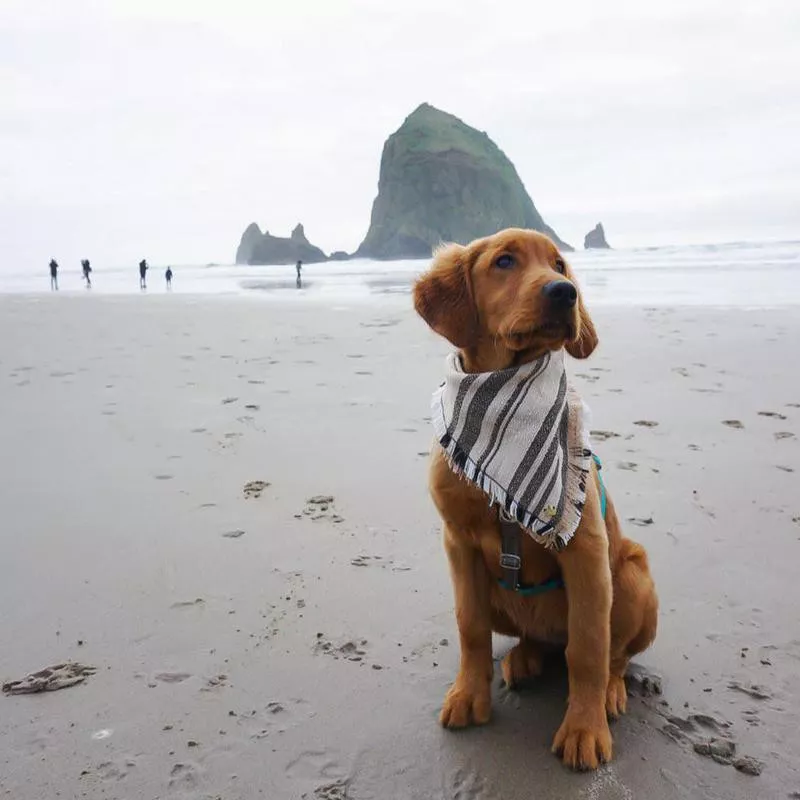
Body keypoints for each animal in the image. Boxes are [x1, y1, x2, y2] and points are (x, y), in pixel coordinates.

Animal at [412, 228, 656, 772]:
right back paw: (523, 657)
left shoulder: (586, 553)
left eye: (560, 265)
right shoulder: (458, 546)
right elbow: (470, 627)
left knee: (613, 654)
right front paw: (468, 695)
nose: (565, 293)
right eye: (504, 262)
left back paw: (611, 691)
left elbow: (588, 648)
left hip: (631, 576)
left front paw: (584, 730)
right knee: (533, 639)